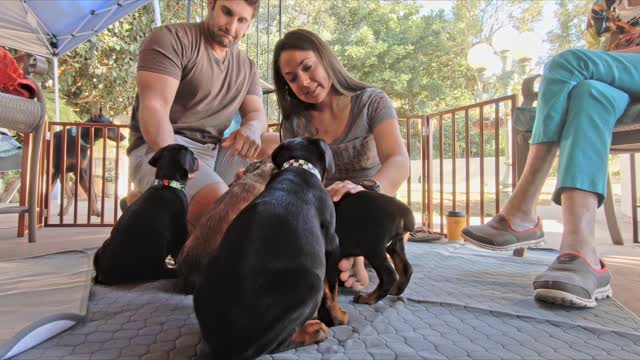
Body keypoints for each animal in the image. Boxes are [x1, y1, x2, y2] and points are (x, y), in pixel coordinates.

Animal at [92, 142, 198, 286]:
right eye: (192, 154)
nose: (197, 158)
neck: (167, 182)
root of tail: (104, 275)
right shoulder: (180, 228)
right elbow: (178, 251)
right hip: (158, 252)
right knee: (162, 271)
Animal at [192, 137, 348, 360]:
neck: (298, 167)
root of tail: (225, 346)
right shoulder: (332, 242)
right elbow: (332, 288)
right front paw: (339, 316)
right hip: (311, 283)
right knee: (274, 345)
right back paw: (315, 330)